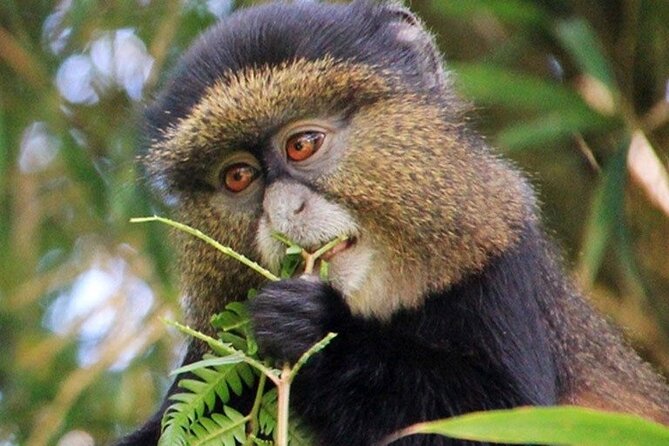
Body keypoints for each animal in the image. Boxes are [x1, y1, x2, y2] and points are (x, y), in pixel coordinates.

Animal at [118, 1, 669, 445]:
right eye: (237, 177)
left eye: (302, 144)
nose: (281, 213)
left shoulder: (501, 264)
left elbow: (497, 419)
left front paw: (315, 326)